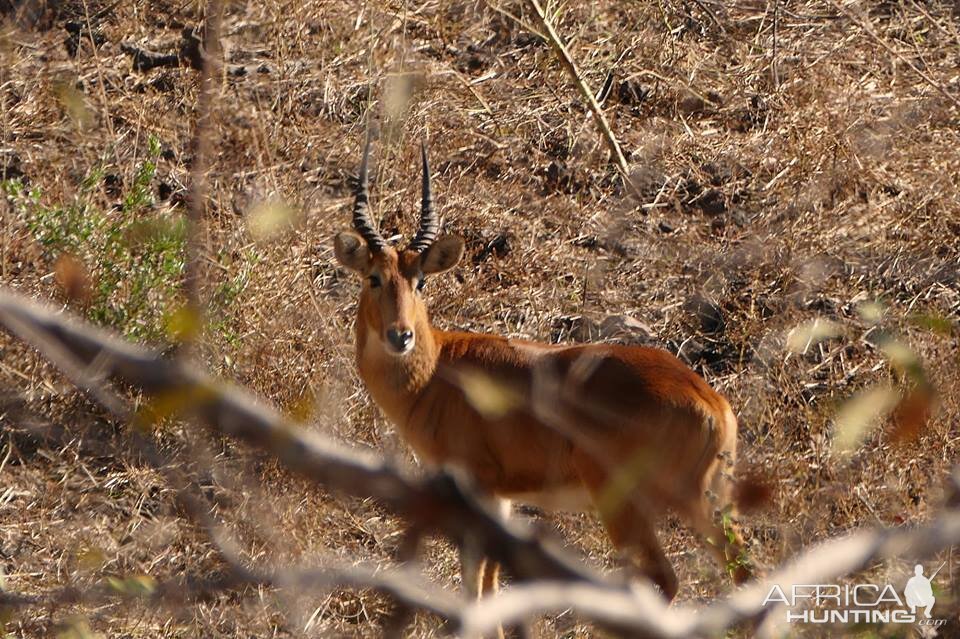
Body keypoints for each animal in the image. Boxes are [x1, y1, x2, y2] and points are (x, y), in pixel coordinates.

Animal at [334, 138, 752, 604]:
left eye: (420, 281)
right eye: (373, 277)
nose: (400, 336)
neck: (437, 370)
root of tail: (710, 401)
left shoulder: (475, 490)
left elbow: (473, 582)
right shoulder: (501, 499)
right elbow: (490, 583)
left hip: (633, 504)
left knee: (666, 578)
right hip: (709, 502)